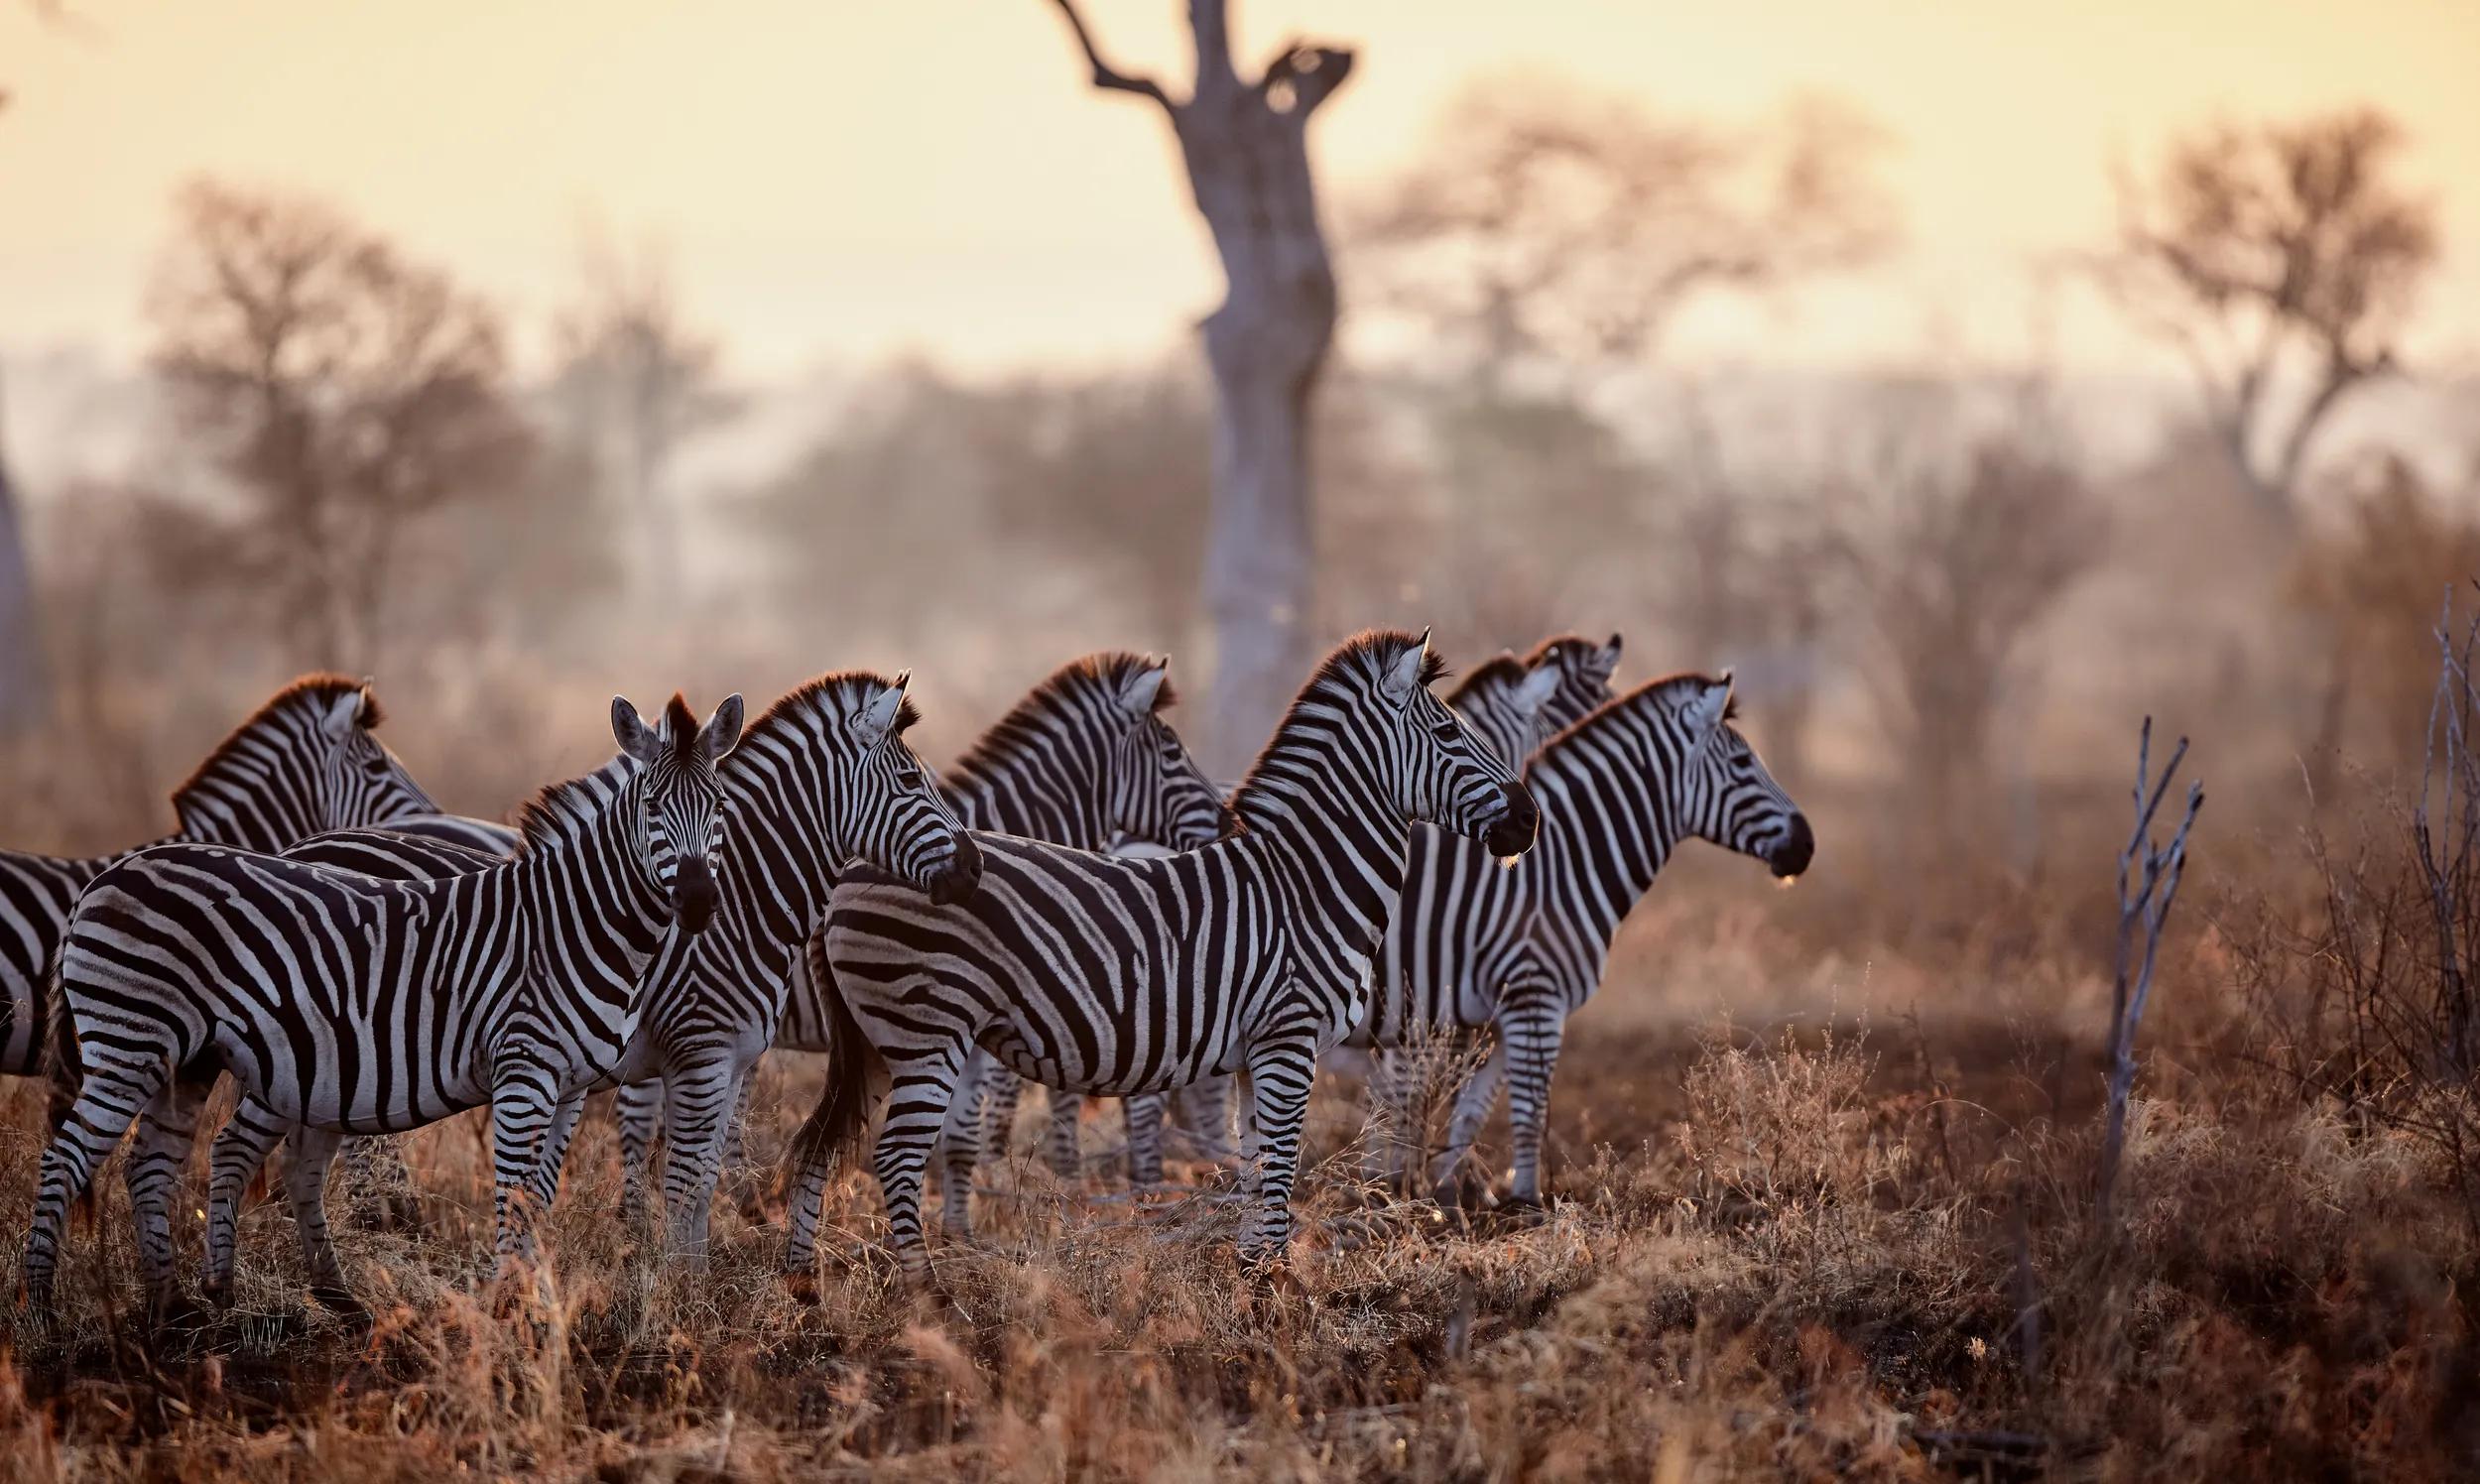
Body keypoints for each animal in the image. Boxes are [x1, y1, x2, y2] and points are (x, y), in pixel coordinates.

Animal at [608, 652, 1228, 1254]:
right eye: (1172, 753)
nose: (1229, 820)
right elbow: (971, 1135)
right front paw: (969, 1231)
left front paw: (963, 1229)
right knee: (639, 1121)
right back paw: (642, 1226)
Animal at [781, 628, 1541, 1278]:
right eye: (1449, 733)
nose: (1530, 820)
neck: (1305, 882)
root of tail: (847, 873)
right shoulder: (1290, 1038)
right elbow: (1281, 1167)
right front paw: (1277, 1289)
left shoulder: (1256, 1051)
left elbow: (1255, 1166)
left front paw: (1253, 1279)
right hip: (927, 1031)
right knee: (896, 1158)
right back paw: (926, 1293)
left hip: (875, 1043)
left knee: (821, 1147)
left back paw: (802, 1280)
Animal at [1350, 672, 1813, 1207]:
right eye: (1741, 764)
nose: (1806, 845)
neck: (1559, 867)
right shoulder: (1533, 998)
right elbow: (1526, 1113)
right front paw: (1525, 1204)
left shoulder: (1495, 1014)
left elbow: (1470, 1110)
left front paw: (1451, 1196)